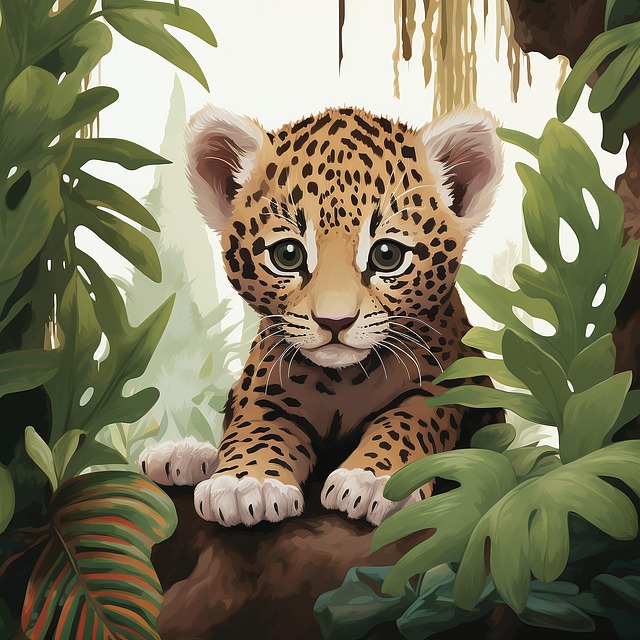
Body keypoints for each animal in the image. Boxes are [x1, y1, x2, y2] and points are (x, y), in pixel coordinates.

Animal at [138, 104, 503, 527]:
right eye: (288, 255)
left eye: (388, 255)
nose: (334, 322)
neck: (343, 382)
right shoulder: (260, 389)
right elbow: (254, 429)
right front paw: (247, 485)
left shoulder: (437, 386)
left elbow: (405, 424)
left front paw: (372, 481)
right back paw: (179, 456)